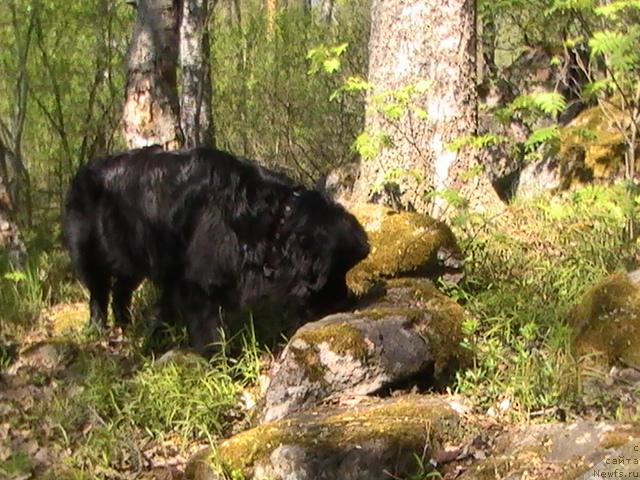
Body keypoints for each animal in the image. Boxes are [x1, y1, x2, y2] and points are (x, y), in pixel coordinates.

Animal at [63, 146, 370, 352]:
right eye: (334, 272)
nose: (346, 301)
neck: (273, 220)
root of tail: (82, 172)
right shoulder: (196, 282)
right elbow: (206, 326)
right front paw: (217, 359)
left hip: (131, 259)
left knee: (120, 292)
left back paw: (125, 325)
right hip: (91, 255)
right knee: (99, 293)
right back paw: (98, 327)